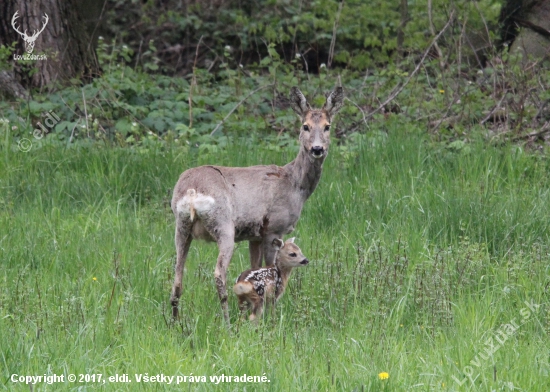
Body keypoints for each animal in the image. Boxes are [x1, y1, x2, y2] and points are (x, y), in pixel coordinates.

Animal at [171, 86, 344, 324]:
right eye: (305, 126)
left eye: (327, 126)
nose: (317, 149)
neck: (295, 184)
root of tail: (191, 192)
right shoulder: (274, 228)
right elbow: (271, 268)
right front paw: (272, 314)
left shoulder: (254, 234)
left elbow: (254, 266)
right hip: (224, 225)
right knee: (218, 274)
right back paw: (226, 321)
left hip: (181, 226)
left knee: (177, 277)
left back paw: (174, 322)